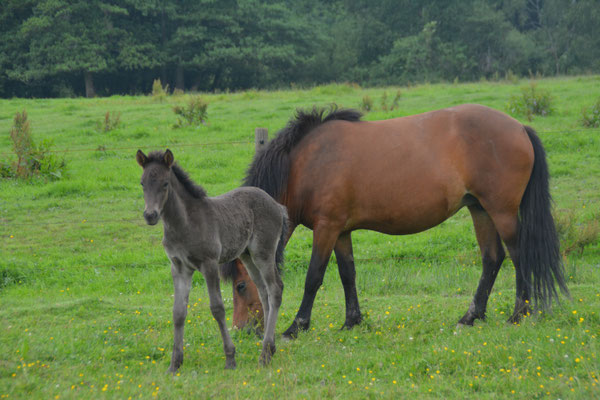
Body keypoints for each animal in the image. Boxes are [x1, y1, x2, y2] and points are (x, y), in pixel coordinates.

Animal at [137, 150, 288, 372]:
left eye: (165, 183)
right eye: (142, 183)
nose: (150, 215)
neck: (183, 223)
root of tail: (277, 204)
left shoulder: (209, 264)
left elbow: (217, 308)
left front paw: (230, 359)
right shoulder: (179, 267)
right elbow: (178, 312)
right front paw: (175, 364)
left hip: (264, 252)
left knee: (275, 288)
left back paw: (264, 355)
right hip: (247, 256)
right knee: (264, 291)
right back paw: (270, 347)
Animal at [223, 103, 568, 338]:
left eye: (240, 285)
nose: (242, 329)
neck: (305, 165)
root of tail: (520, 127)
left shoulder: (326, 228)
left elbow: (314, 277)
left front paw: (296, 326)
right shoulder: (341, 231)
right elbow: (347, 274)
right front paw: (352, 321)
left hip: (502, 211)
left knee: (518, 256)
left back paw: (519, 313)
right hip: (480, 210)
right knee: (492, 259)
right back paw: (471, 316)